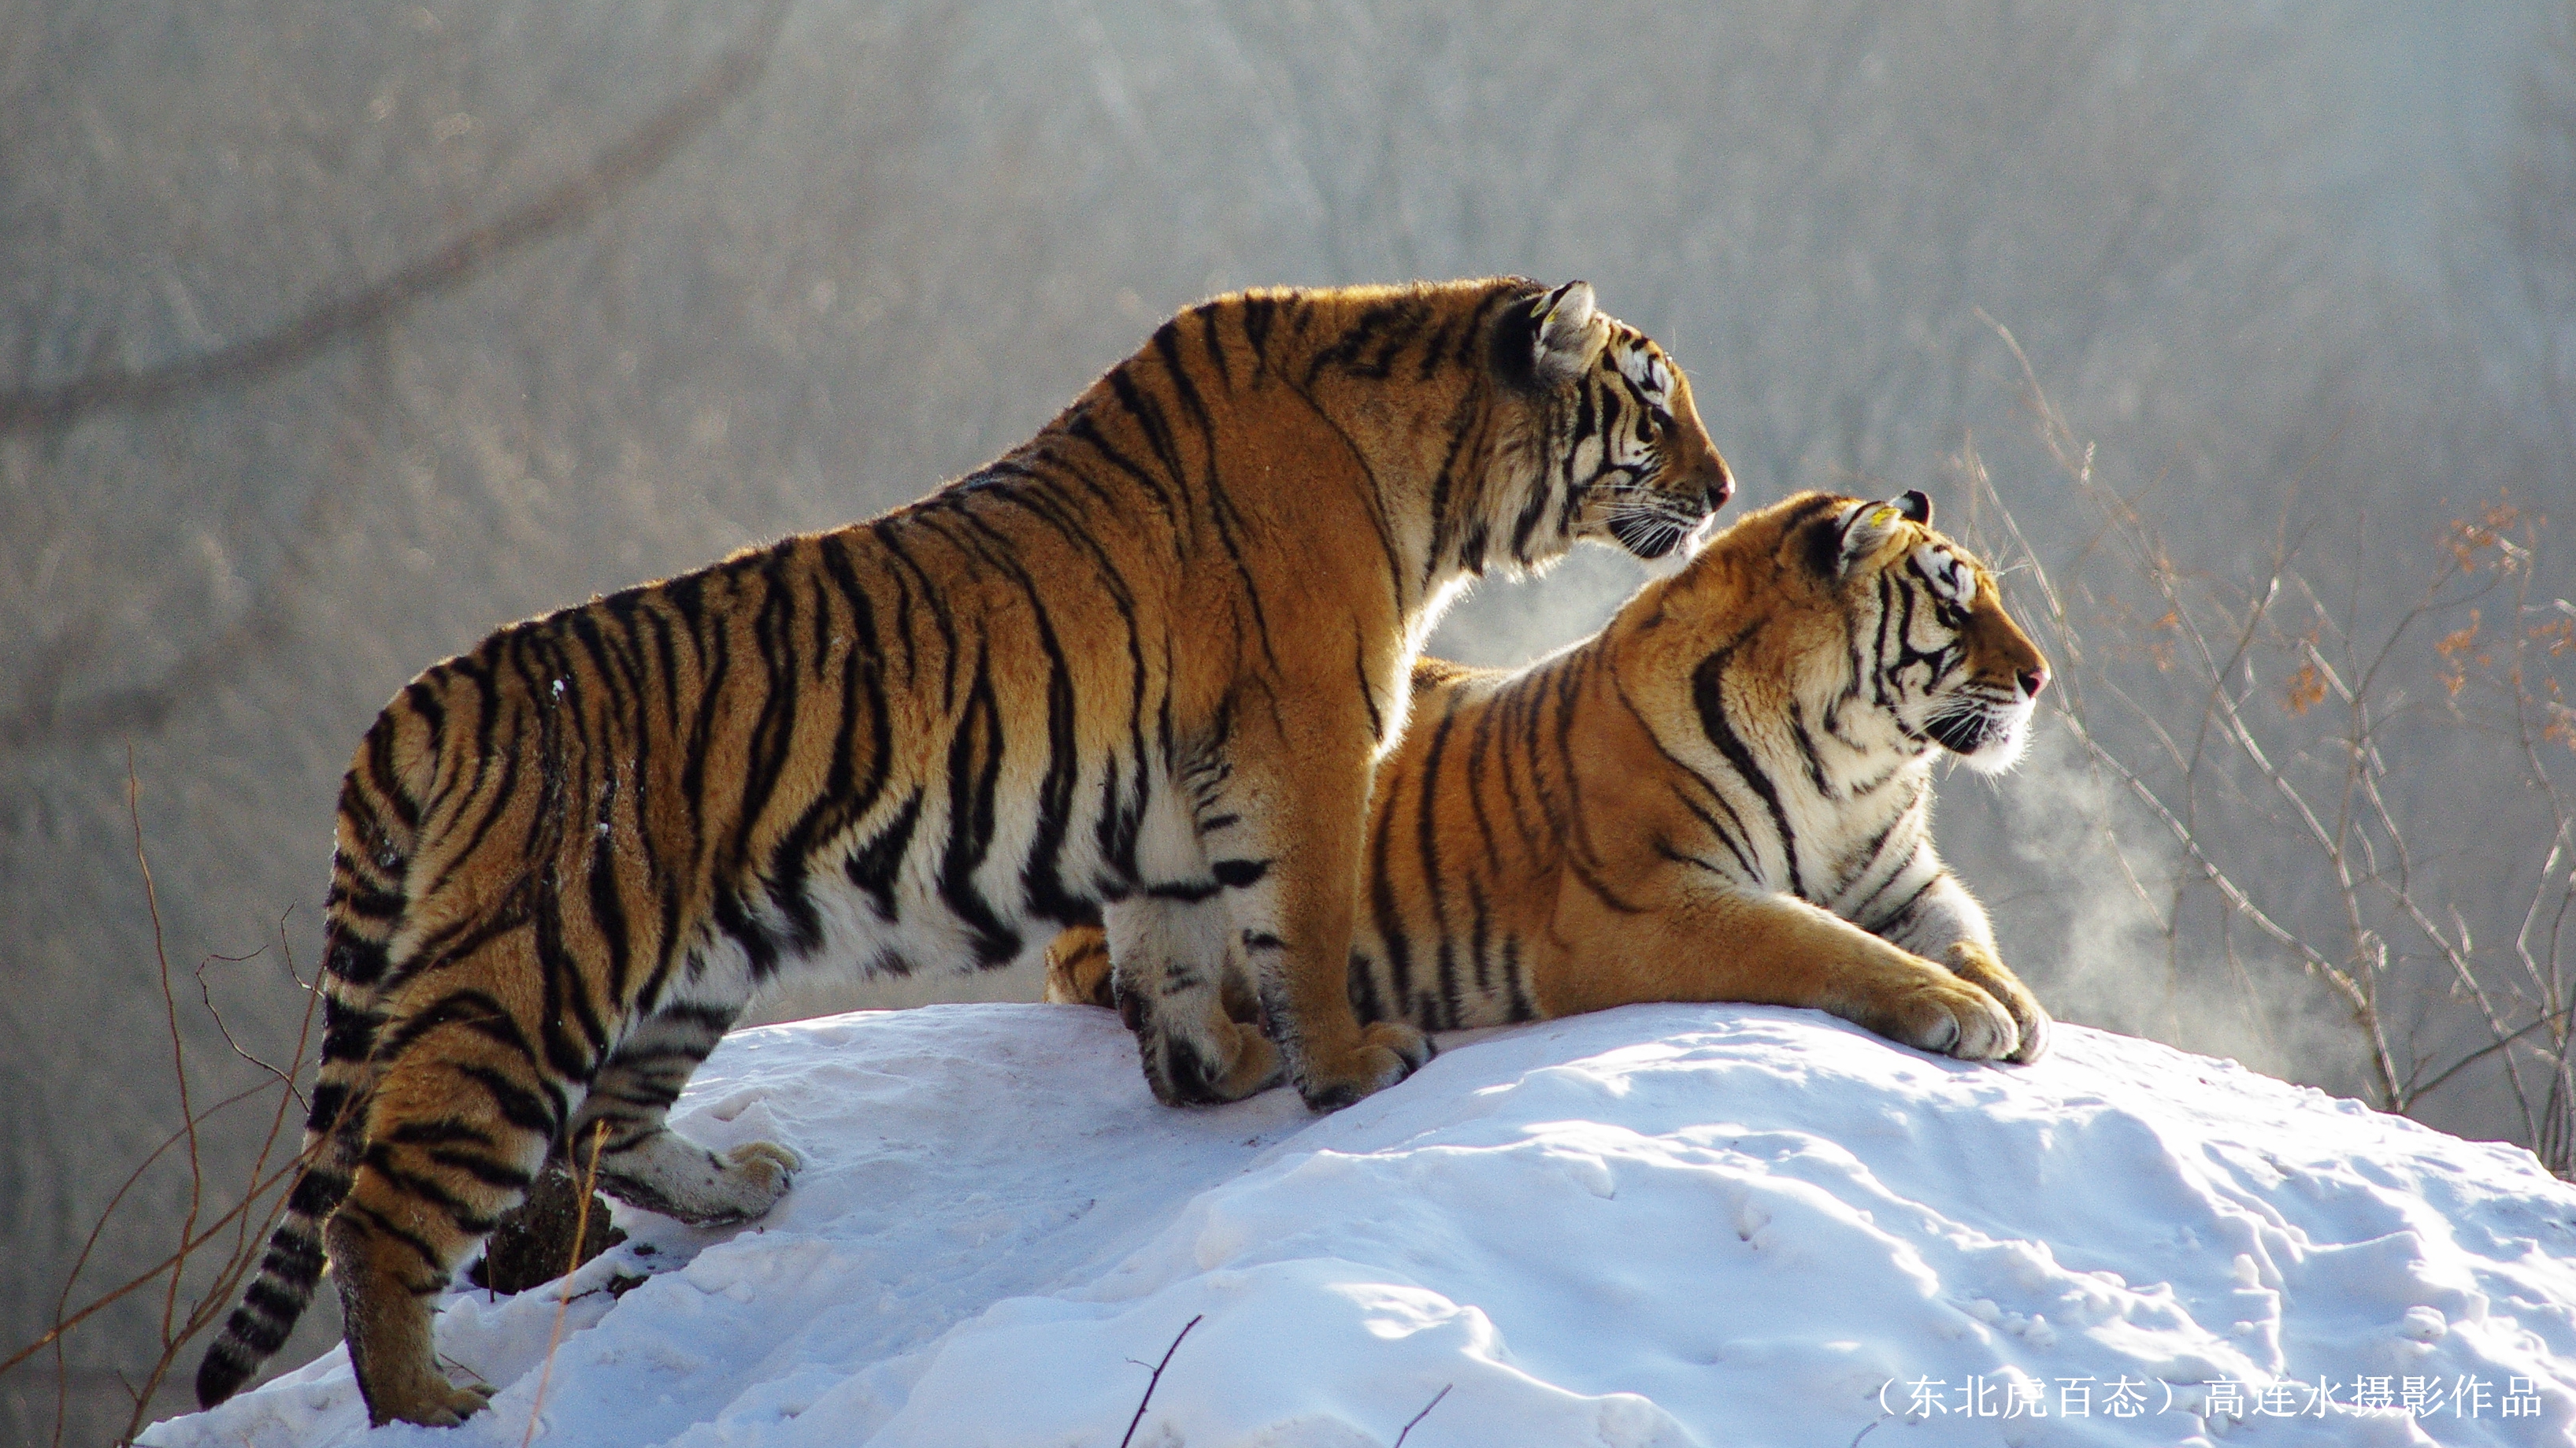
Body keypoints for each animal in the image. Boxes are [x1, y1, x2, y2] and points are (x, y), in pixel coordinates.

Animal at [195, 280, 1731, 1422]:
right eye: (1653, 407)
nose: (1722, 489)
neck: (1432, 469)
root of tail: (425, 695)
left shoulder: (1178, 802)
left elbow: (1177, 956)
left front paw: (1214, 1069)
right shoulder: (1304, 734)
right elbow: (1304, 912)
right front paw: (1350, 1068)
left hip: (683, 966)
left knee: (607, 1130)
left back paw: (742, 1184)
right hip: (530, 983)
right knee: (383, 1212)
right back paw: (429, 1398)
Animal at [1046, 489, 2050, 1066]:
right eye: (1954, 607)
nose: (2040, 676)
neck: (1849, 775)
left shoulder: (1906, 886)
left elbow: (1965, 937)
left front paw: (2012, 1001)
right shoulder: (1640, 906)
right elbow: (1815, 942)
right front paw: (1958, 1010)